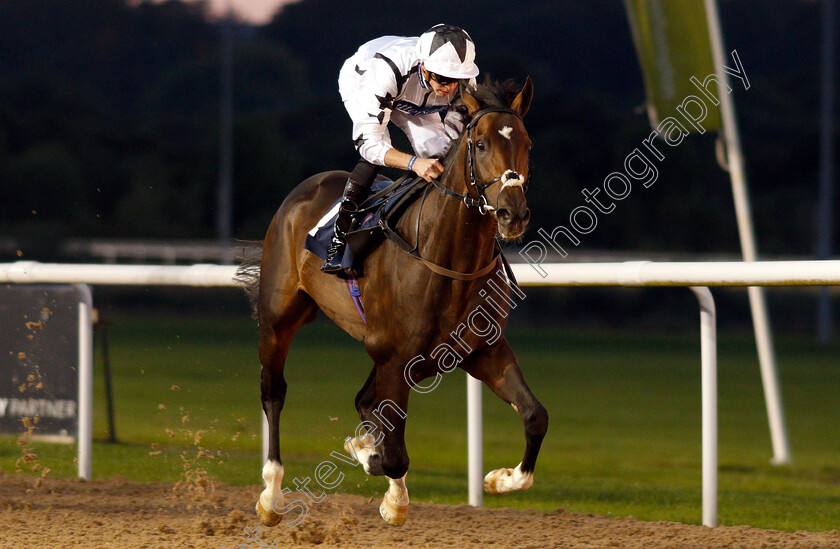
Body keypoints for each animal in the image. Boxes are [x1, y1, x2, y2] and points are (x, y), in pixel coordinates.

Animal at [240, 77, 548, 528]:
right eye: (480, 144)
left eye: (526, 143)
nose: (513, 214)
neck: (448, 260)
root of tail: (304, 189)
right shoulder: (398, 356)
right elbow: (396, 453)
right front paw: (391, 494)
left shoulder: (481, 350)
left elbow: (534, 416)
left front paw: (500, 479)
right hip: (279, 318)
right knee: (273, 390)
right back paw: (270, 492)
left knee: (364, 399)